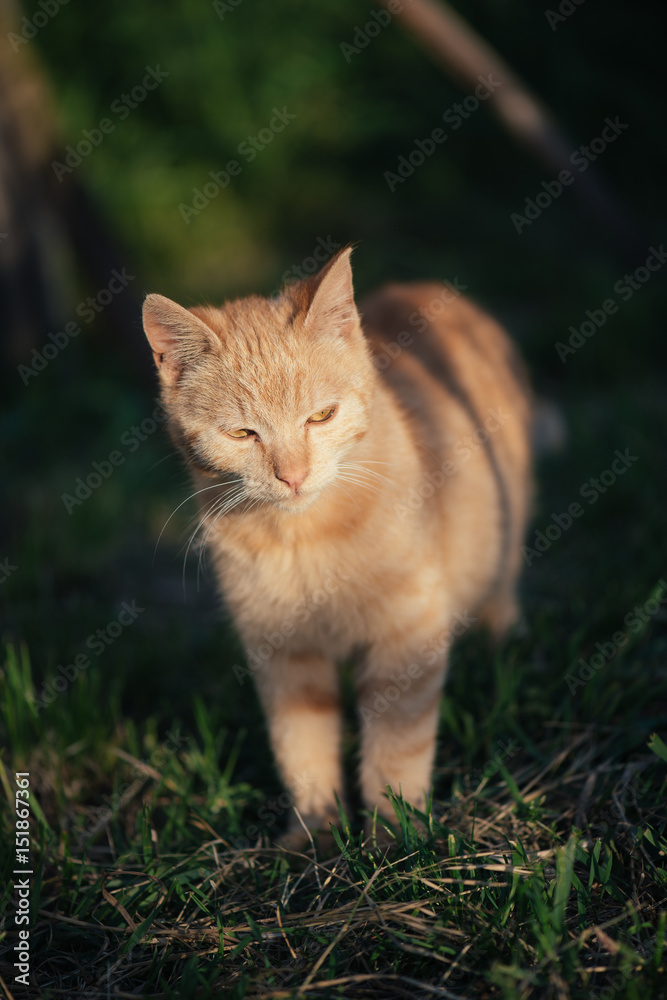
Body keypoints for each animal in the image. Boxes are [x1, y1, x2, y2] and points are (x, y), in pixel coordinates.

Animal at [145, 246, 532, 840]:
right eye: (242, 434)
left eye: (322, 415)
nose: (293, 476)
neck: (304, 540)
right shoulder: (284, 652)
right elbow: (301, 747)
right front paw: (314, 833)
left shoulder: (407, 638)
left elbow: (397, 749)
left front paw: (395, 837)